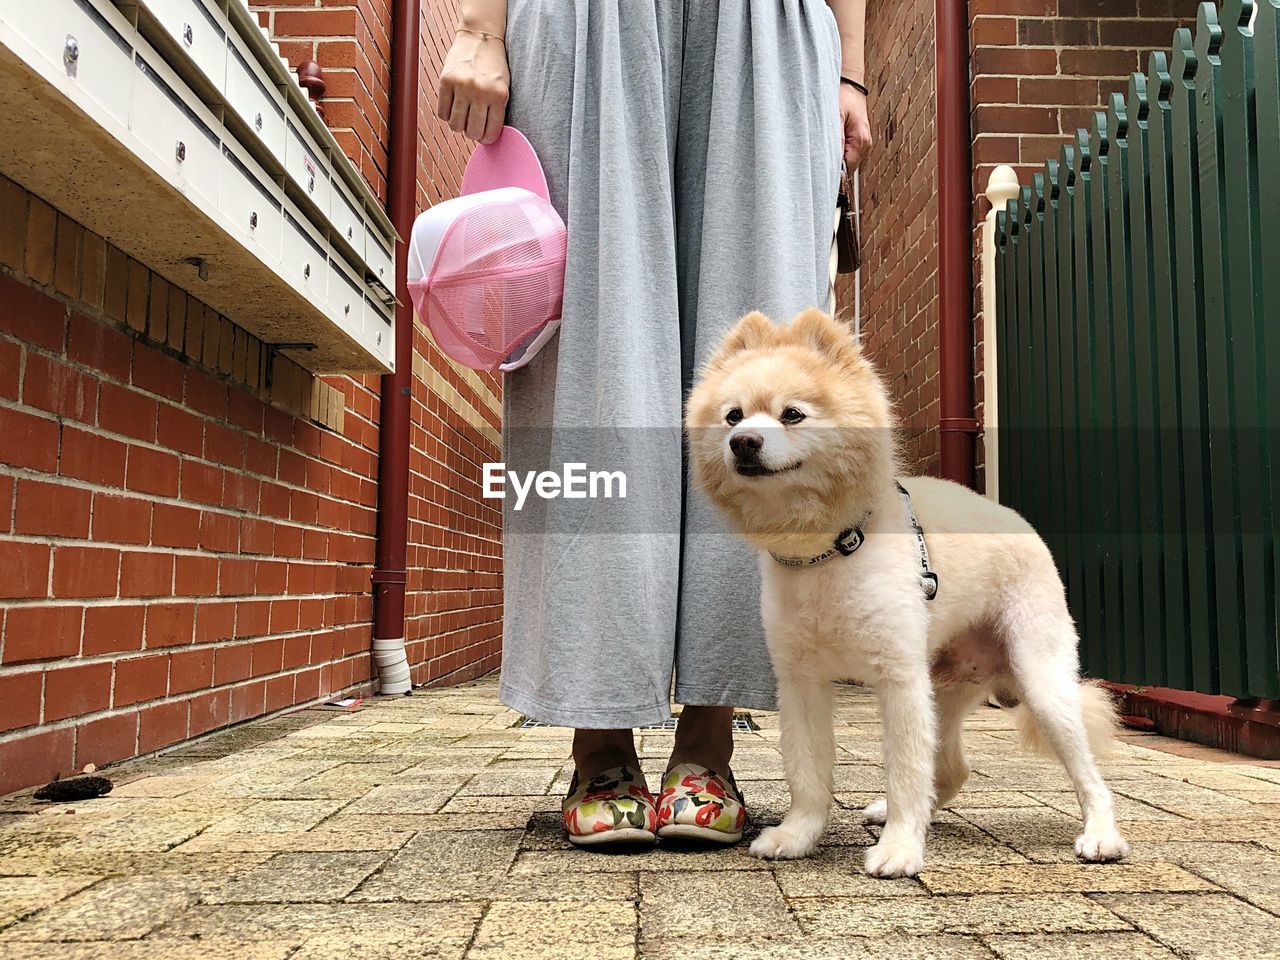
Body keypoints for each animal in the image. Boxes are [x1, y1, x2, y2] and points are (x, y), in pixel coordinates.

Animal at [691, 308, 1131, 880]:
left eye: (792, 415)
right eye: (732, 416)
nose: (743, 442)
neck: (829, 552)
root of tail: (1021, 524)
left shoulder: (898, 678)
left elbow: (903, 768)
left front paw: (900, 849)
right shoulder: (802, 681)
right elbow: (808, 772)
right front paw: (797, 835)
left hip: (1042, 682)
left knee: (1088, 774)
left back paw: (1101, 836)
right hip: (946, 688)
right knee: (952, 769)